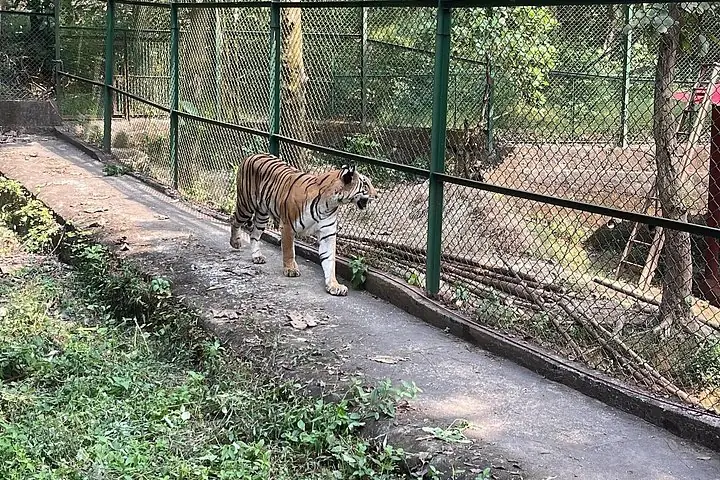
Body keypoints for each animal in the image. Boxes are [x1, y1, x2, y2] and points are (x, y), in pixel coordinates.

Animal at [229, 152, 377, 296]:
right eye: (365, 185)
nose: (376, 195)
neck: (330, 203)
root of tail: (251, 156)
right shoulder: (287, 226)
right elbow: (289, 251)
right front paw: (290, 269)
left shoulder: (327, 233)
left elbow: (329, 260)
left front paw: (334, 285)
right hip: (246, 205)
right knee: (234, 219)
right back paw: (235, 242)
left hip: (262, 215)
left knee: (254, 234)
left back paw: (257, 257)